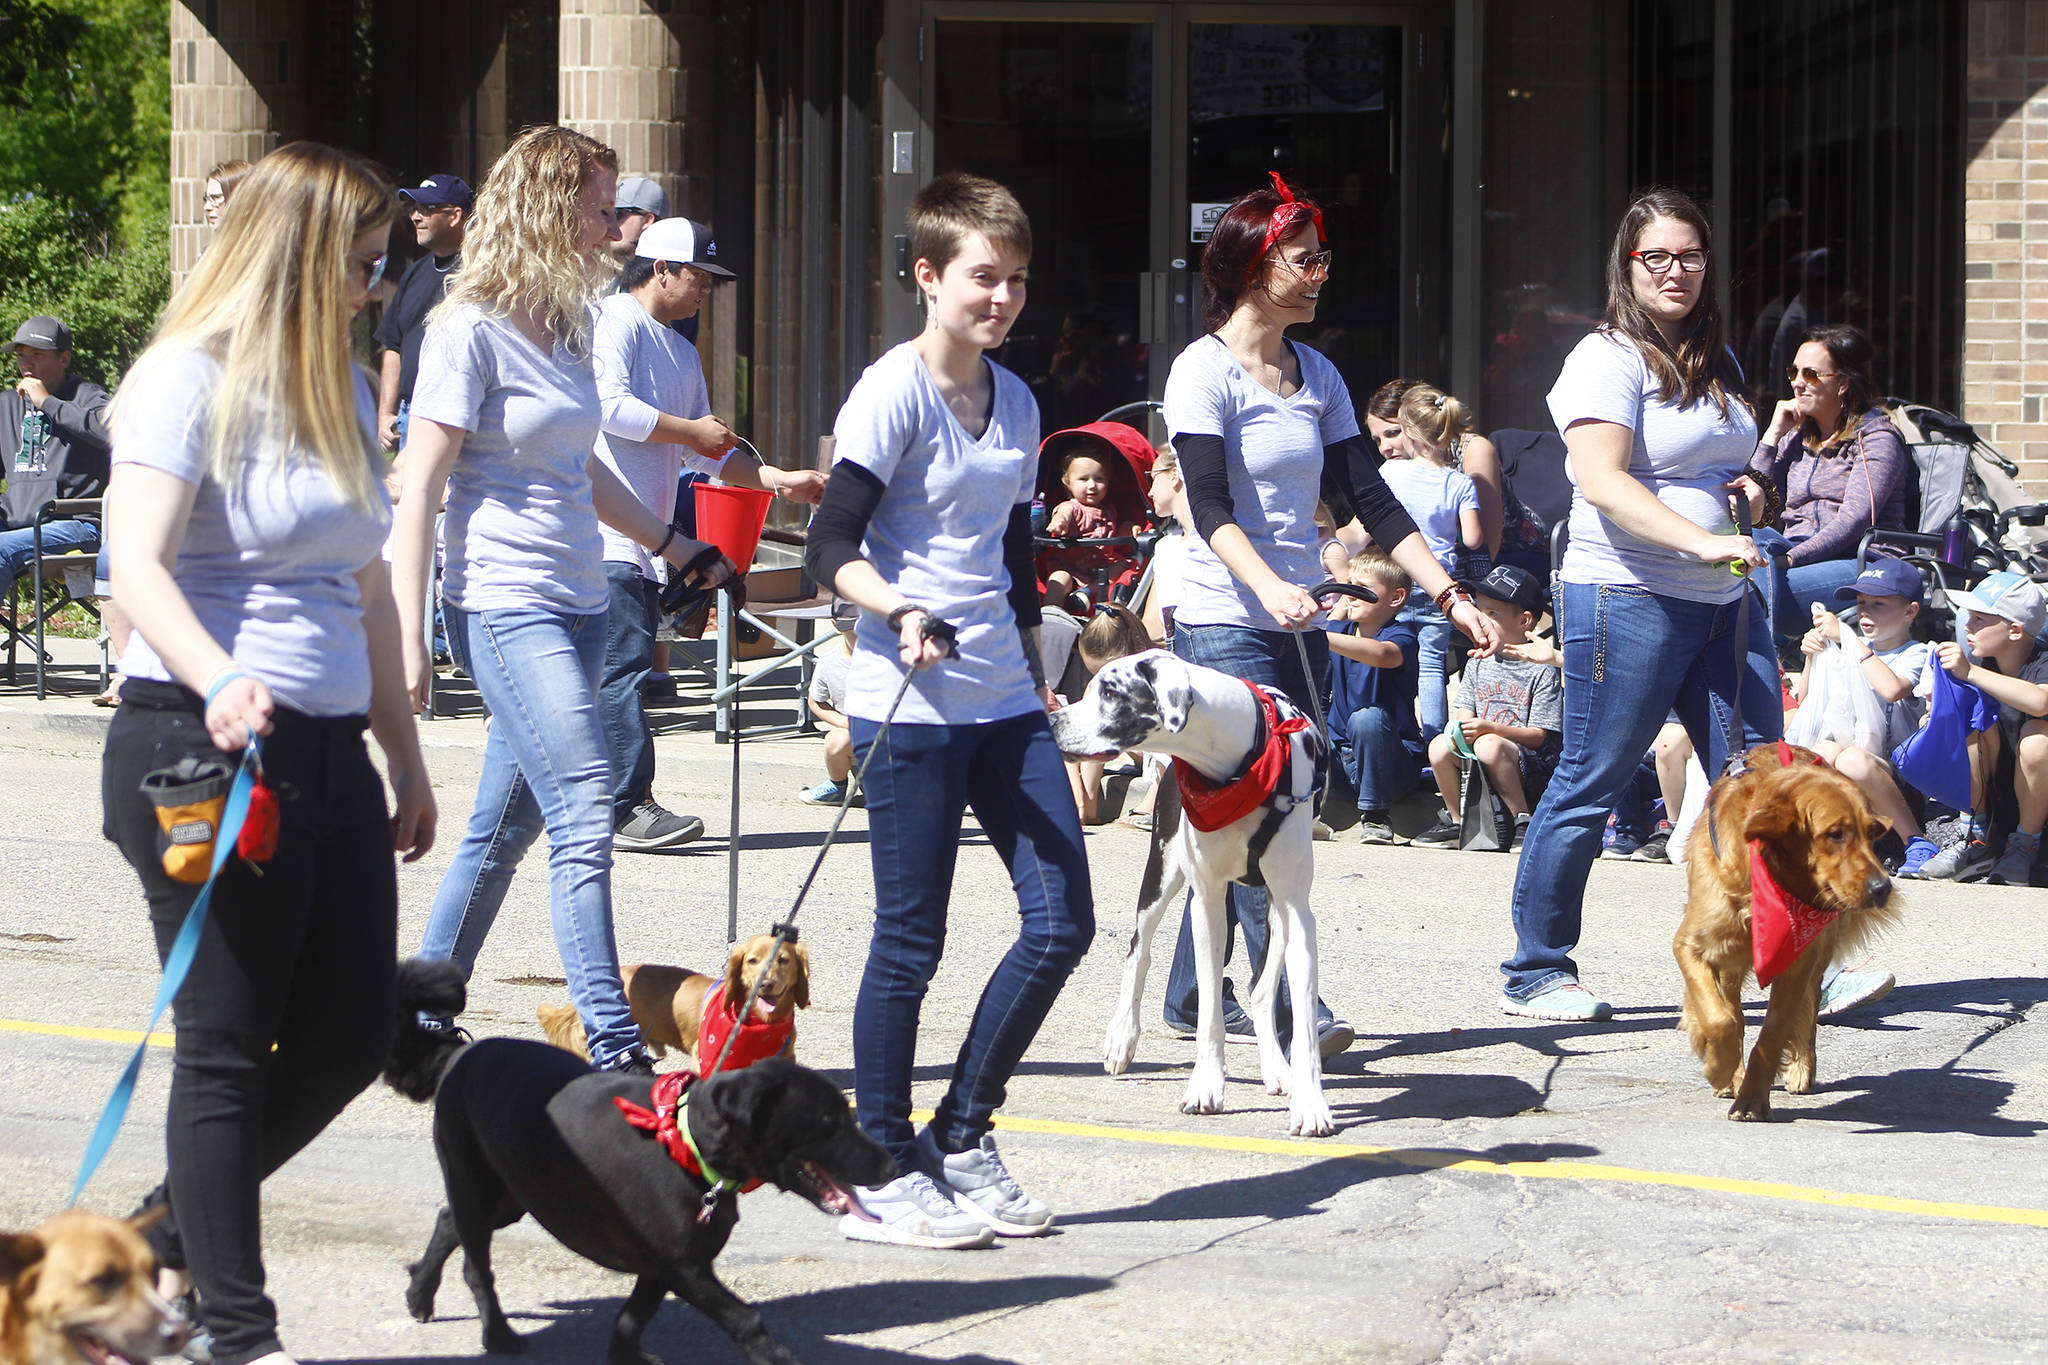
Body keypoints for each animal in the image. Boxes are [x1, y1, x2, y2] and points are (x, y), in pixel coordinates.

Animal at [385, 961, 897, 1365]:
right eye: (828, 1122)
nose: (892, 1166)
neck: (689, 1141)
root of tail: (462, 1053)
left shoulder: (662, 1268)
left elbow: (632, 1319)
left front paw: (625, 1355)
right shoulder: (686, 1267)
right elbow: (746, 1320)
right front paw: (776, 1356)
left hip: (513, 1190)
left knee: (448, 1220)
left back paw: (419, 1294)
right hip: (479, 1181)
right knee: (476, 1267)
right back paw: (498, 1335)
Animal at [1671, 749, 1892, 1121]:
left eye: (1872, 833)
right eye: (1835, 834)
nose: (1883, 887)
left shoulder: (1797, 961)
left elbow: (1773, 1033)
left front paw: (1751, 1100)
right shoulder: (1694, 945)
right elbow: (1720, 1020)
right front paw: (1719, 1067)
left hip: (1817, 952)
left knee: (1809, 1008)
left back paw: (1801, 1067)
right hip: (1730, 963)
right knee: (1733, 1012)